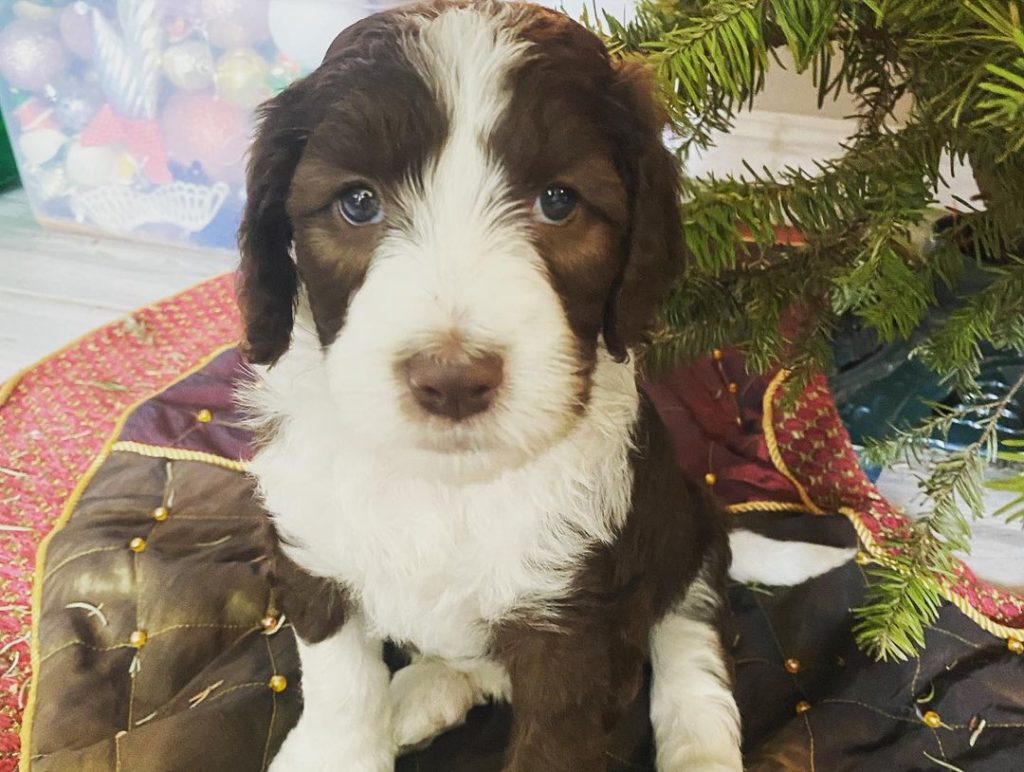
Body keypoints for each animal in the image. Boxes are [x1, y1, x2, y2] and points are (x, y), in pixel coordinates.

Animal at [239, 3, 745, 765]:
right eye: (357, 202)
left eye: (559, 201)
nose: (451, 381)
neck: (446, 486)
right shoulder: (313, 549)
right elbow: (339, 680)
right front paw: (334, 752)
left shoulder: (576, 626)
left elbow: (558, 741)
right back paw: (424, 692)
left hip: (689, 525)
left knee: (689, 634)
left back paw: (700, 747)